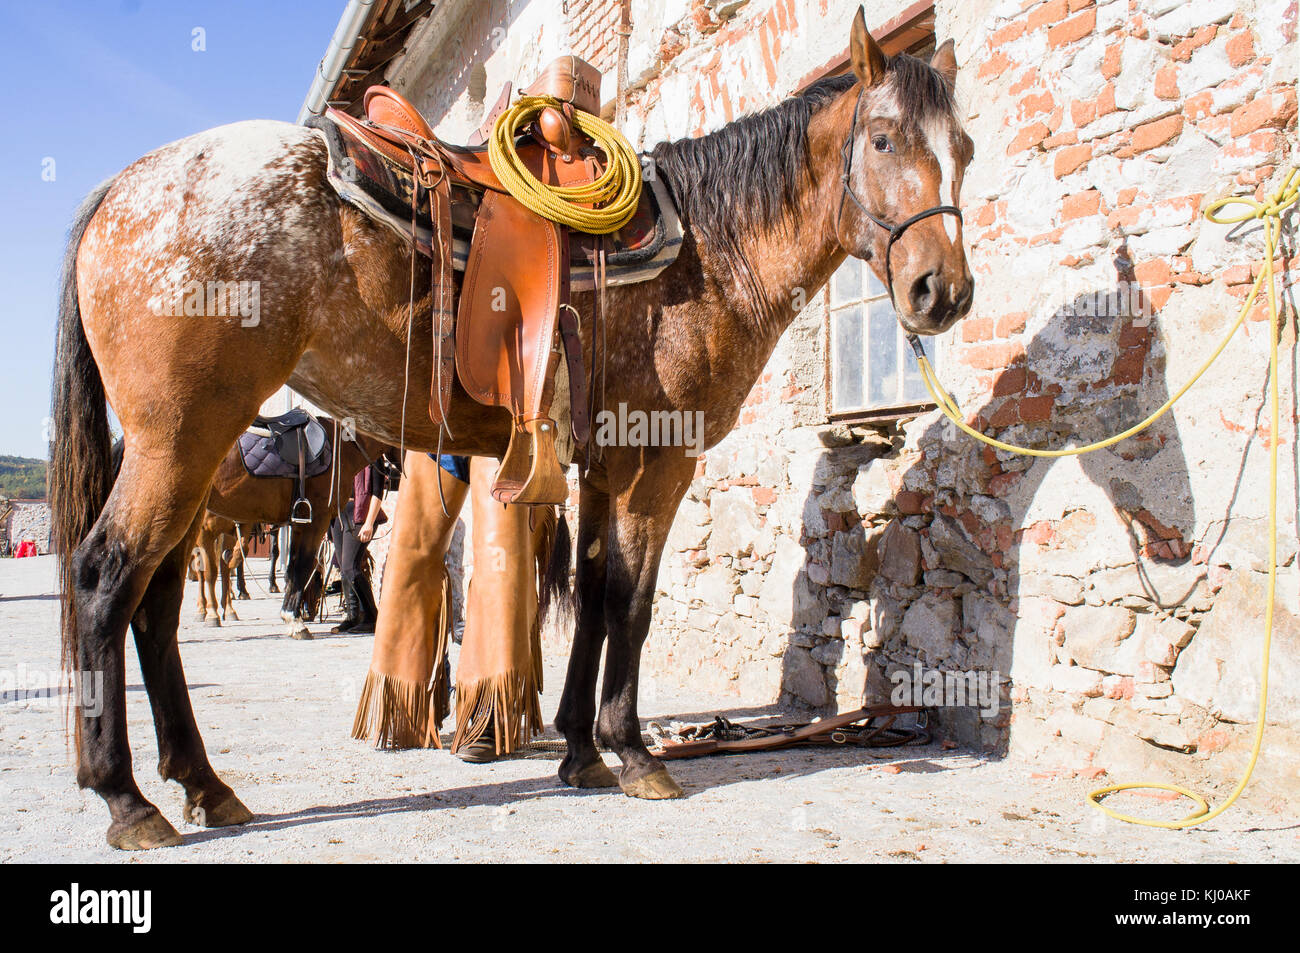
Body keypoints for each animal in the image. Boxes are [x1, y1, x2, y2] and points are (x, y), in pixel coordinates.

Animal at [45, 13, 972, 847]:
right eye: (883, 140)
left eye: (961, 148)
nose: (943, 292)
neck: (707, 252)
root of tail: (124, 186)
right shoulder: (659, 464)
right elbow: (631, 602)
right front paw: (635, 753)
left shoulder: (606, 467)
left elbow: (594, 594)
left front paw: (580, 749)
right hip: (180, 441)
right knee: (104, 579)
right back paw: (127, 798)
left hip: (195, 451)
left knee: (158, 600)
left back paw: (204, 783)